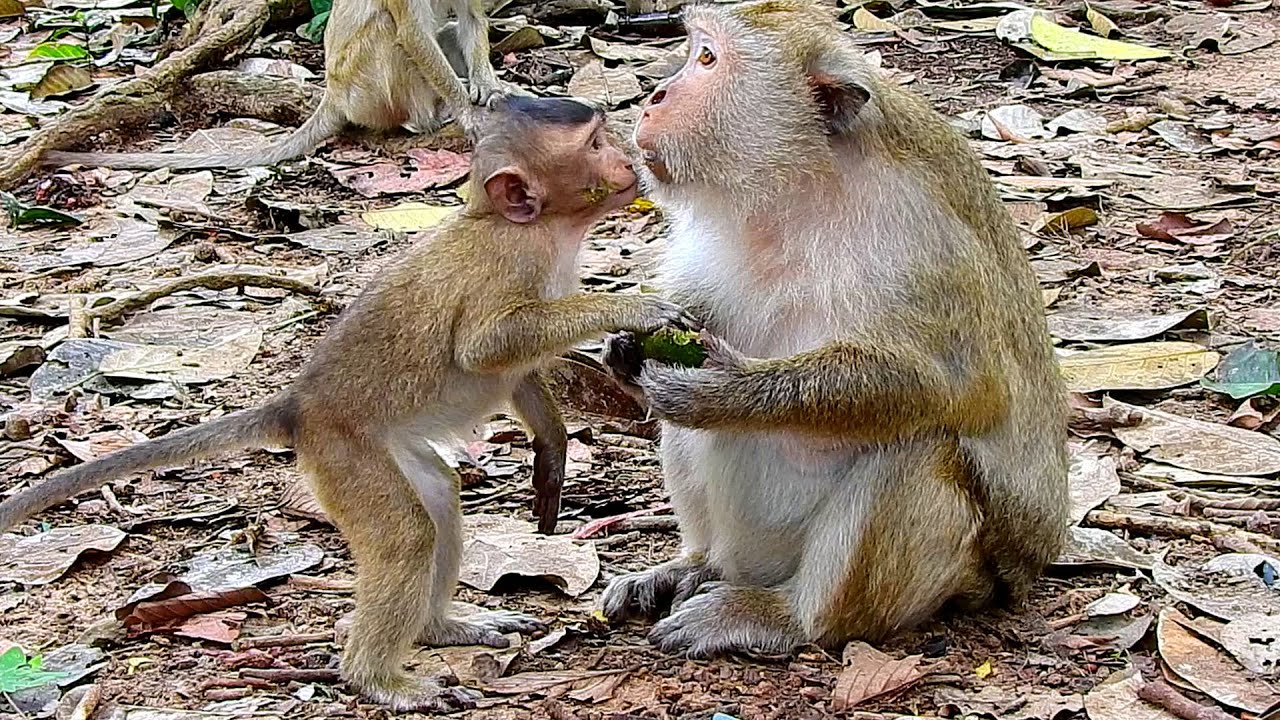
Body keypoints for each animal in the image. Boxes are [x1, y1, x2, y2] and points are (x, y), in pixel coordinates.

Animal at [2, 94, 692, 711]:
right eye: (595, 144)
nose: (628, 158)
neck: (533, 229)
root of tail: (300, 407)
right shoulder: (508, 262)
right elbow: (487, 346)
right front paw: (634, 307)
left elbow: (515, 374)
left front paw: (551, 453)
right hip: (344, 455)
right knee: (408, 535)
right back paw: (378, 678)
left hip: (383, 449)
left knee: (437, 501)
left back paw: (440, 627)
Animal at [41, 0, 510, 170]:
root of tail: (333, 93)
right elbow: (410, 32)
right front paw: (468, 114)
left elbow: (471, 17)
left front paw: (490, 89)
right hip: (367, 88)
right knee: (388, 29)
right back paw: (429, 117)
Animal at [597, 0, 1070, 659]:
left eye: (708, 59)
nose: (654, 97)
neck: (804, 184)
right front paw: (628, 345)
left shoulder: (923, 243)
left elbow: (964, 391)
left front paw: (725, 392)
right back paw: (695, 565)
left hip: (961, 573)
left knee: (920, 443)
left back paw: (785, 617)